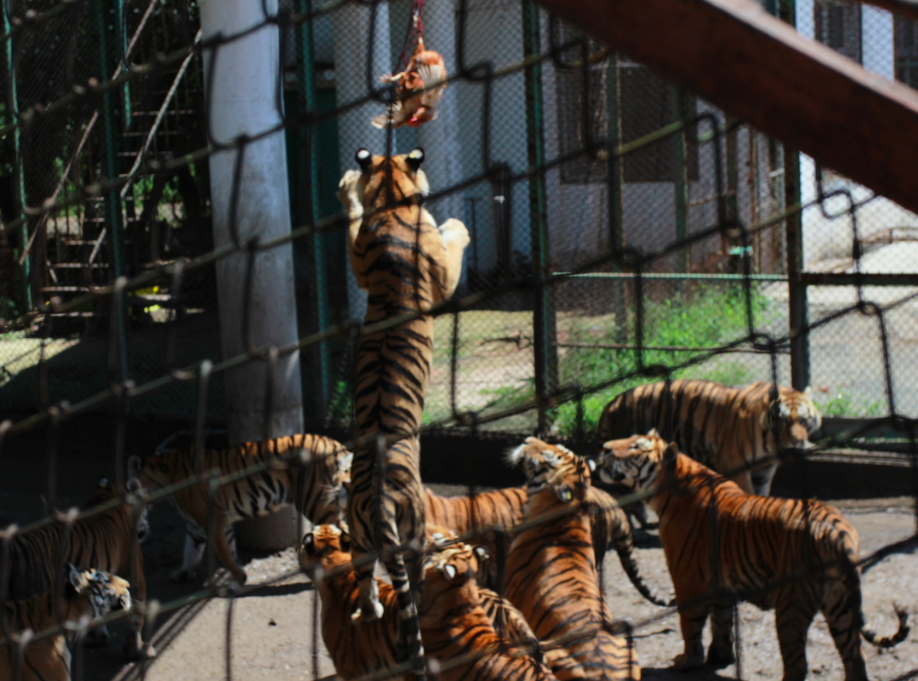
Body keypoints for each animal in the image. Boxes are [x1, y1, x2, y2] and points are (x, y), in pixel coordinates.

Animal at [129, 433, 351, 586]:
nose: (136, 532)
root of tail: (337, 445)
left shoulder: (214, 519)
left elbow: (223, 553)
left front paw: (237, 578)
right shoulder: (198, 525)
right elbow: (192, 551)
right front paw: (183, 573)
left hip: (316, 502)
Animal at [596, 430, 909, 681]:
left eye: (636, 446)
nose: (604, 448)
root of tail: (838, 530)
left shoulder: (687, 581)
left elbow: (691, 626)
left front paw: (687, 662)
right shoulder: (720, 585)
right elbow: (721, 622)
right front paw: (720, 657)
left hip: (792, 604)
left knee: (798, 665)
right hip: (840, 603)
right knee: (855, 659)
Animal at [597, 380, 821, 501]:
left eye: (803, 420)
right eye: (783, 420)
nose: (797, 442)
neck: (771, 444)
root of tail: (610, 404)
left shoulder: (764, 471)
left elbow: (761, 493)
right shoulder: (736, 466)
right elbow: (746, 492)